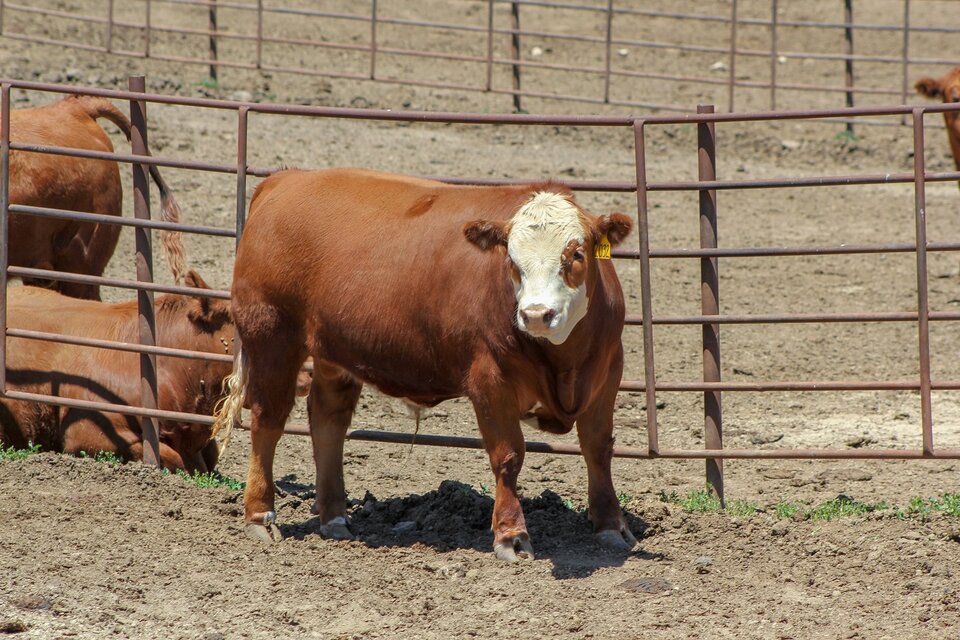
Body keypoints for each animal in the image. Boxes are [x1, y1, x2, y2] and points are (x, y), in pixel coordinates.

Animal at [216, 169, 636, 560]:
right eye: (512, 261)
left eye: (576, 254)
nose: (535, 314)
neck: (564, 361)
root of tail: (284, 179)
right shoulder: (490, 379)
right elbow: (508, 456)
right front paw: (512, 536)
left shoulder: (609, 370)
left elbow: (598, 447)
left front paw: (611, 525)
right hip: (272, 335)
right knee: (268, 420)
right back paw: (260, 515)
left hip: (331, 349)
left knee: (328, 420)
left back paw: (334, 518)